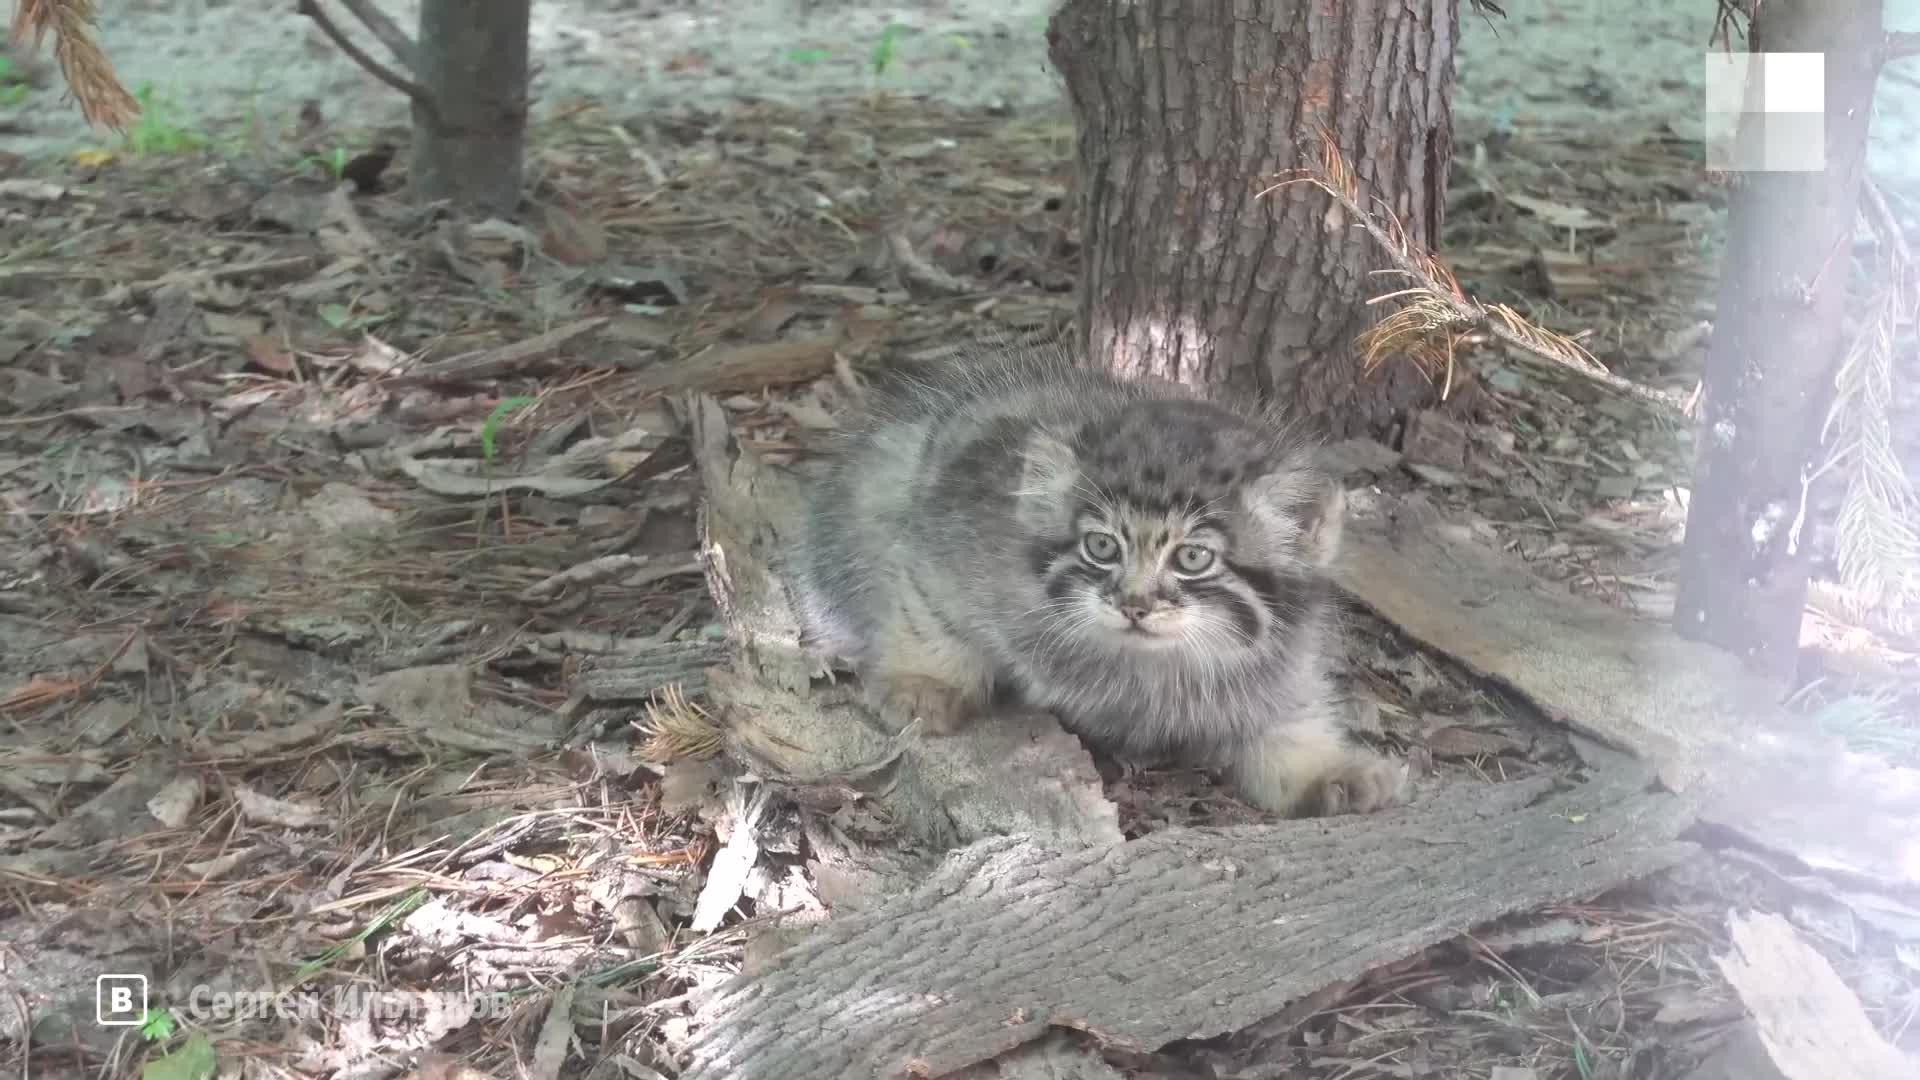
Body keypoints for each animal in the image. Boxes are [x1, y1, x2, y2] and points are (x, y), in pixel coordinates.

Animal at [787, 349, 1405, 810]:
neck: (1142, 671)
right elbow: (928, 614)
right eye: (1102, 546)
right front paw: (924, 681)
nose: (1133, 604)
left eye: (1193, 558)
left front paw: (1332, 772)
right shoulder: (940, 542)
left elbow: (1291, 725)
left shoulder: (1273, 674)